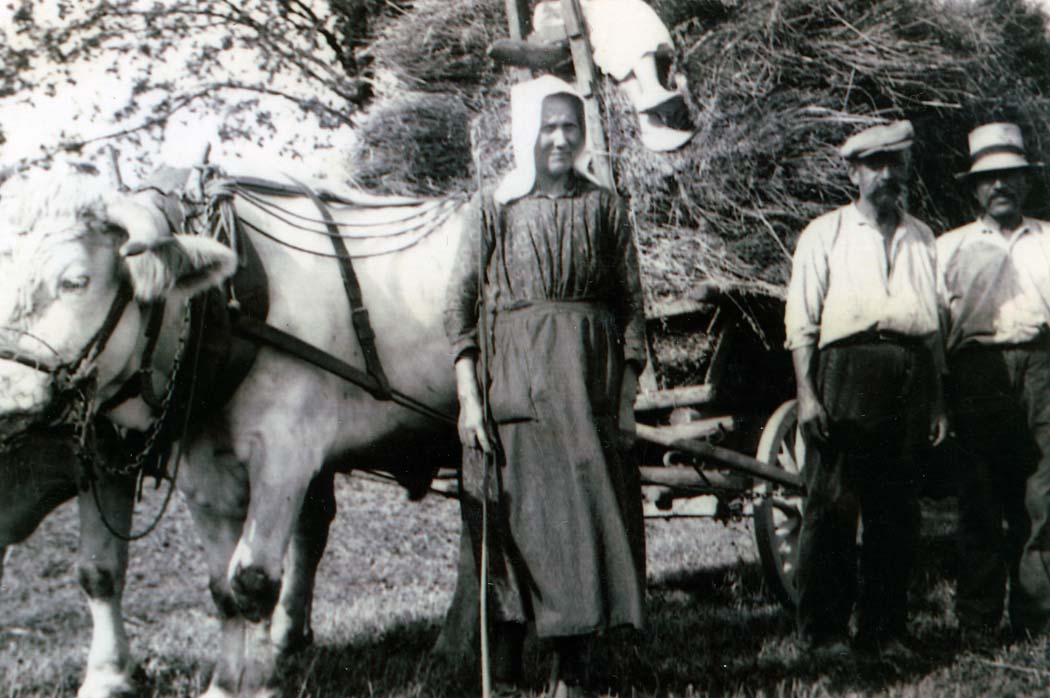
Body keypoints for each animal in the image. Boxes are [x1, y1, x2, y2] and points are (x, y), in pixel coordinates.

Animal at [0, 166, 472, 697]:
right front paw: (224, 683)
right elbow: (218, 589)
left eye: (76, 281)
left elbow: (254, 581)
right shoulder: (197, 467)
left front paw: (261, 682)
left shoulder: (285, 457)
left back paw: (455, 644)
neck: (224, 308)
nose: (7, 396)